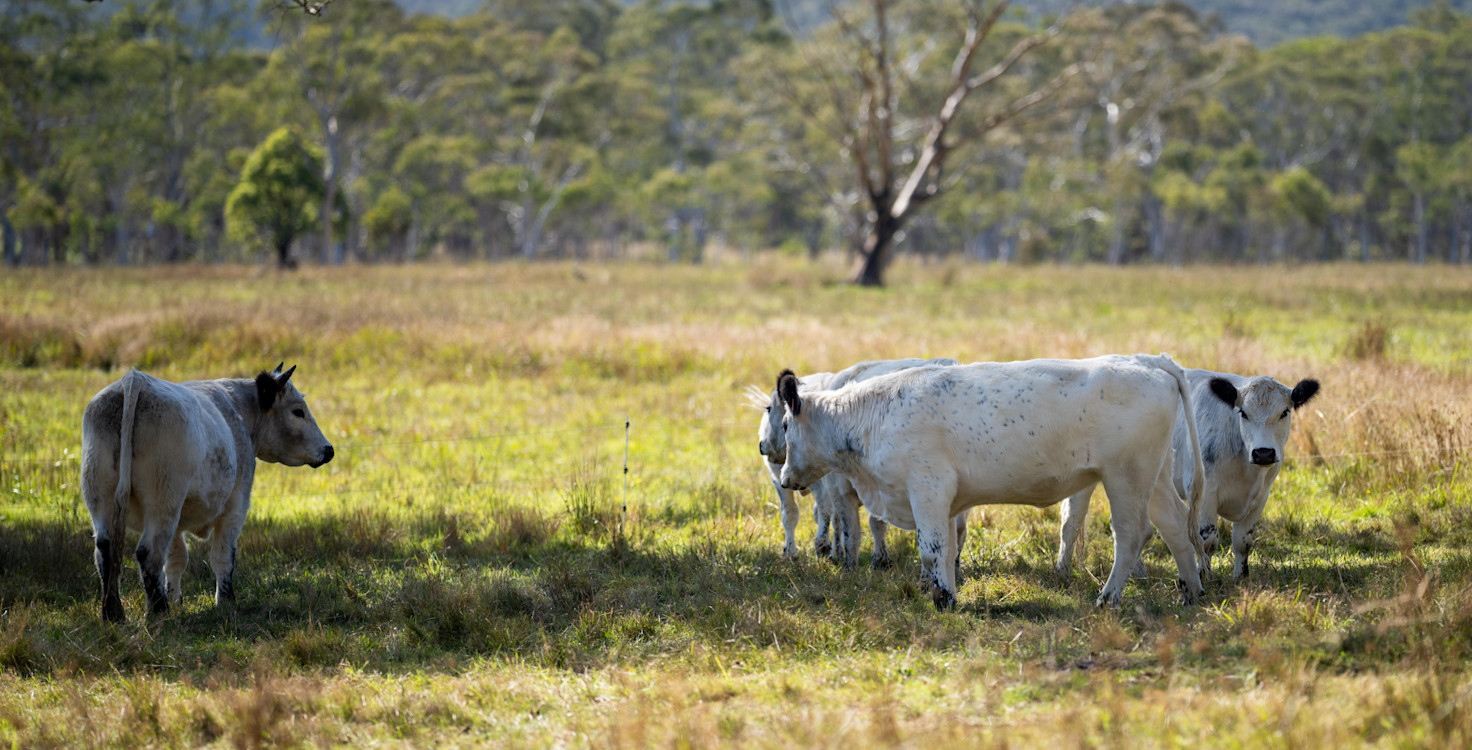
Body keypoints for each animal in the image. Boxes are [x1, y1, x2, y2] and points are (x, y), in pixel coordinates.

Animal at [80, 364, 334, 622]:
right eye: (298, 411)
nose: (329, 450)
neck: (238, 410)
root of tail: (134, 379)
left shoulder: (178, 522)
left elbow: (176, 558)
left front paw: (176, 599)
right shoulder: (236, 506)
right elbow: (223, 555)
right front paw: (225, 601)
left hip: (103, 498)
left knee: (105, 549)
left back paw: (113, 613)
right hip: (163, 501)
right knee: (148, 552)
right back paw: (159, 612)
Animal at [775, 354, 1207, 611]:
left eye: (785, 425)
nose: (784, 477)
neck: (874, 414)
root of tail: (1148, 361)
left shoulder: (927, 490)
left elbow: (932, 551)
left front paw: (942, 599)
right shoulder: (946, 503)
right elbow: (948, 550)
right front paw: (947, 593)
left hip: (1126, 478)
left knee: (1132, 535)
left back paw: (1108, 597)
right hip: (1155, 479)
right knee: (1175, 527)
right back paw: (1191, 591)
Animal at [1055, 370, 1318, 582]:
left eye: (1285, 412)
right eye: (1243, 413)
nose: (1263, 453)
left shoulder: (1260, 497)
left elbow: (1243, 542)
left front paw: (1241, 578)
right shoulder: (1205, 493)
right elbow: (1207, 540)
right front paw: (1206, 576)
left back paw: (1138, 574)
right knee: (1072, 520)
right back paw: (1063, 571)